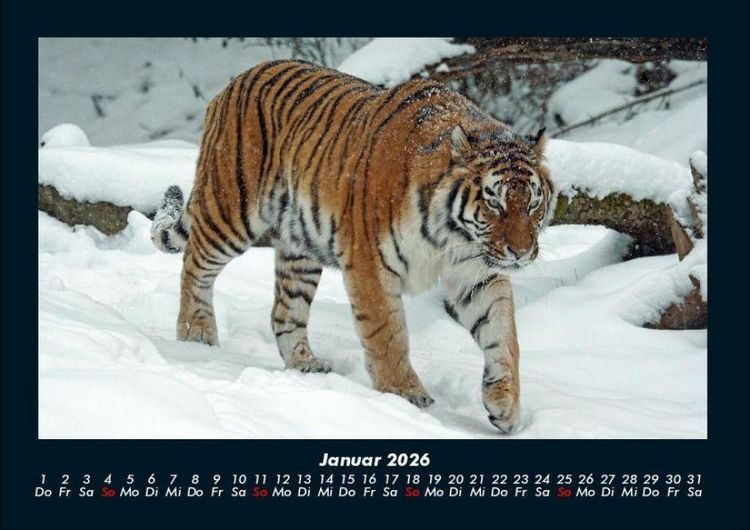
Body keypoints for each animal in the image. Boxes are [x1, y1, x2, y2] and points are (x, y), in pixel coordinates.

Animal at [151, 59, 555, 433]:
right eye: (494, 202)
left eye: (533, 203)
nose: (521, 253)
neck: (452, 236)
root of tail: (235, 81)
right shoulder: (370, 263)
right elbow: (388, 334)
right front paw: (404, 394)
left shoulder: (477, 272)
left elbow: (503, 334)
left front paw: (505, 405)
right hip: (231, 210)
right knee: (194, 265)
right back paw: (196, 335)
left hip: (300, 249)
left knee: (284, 311)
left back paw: (306, 365)